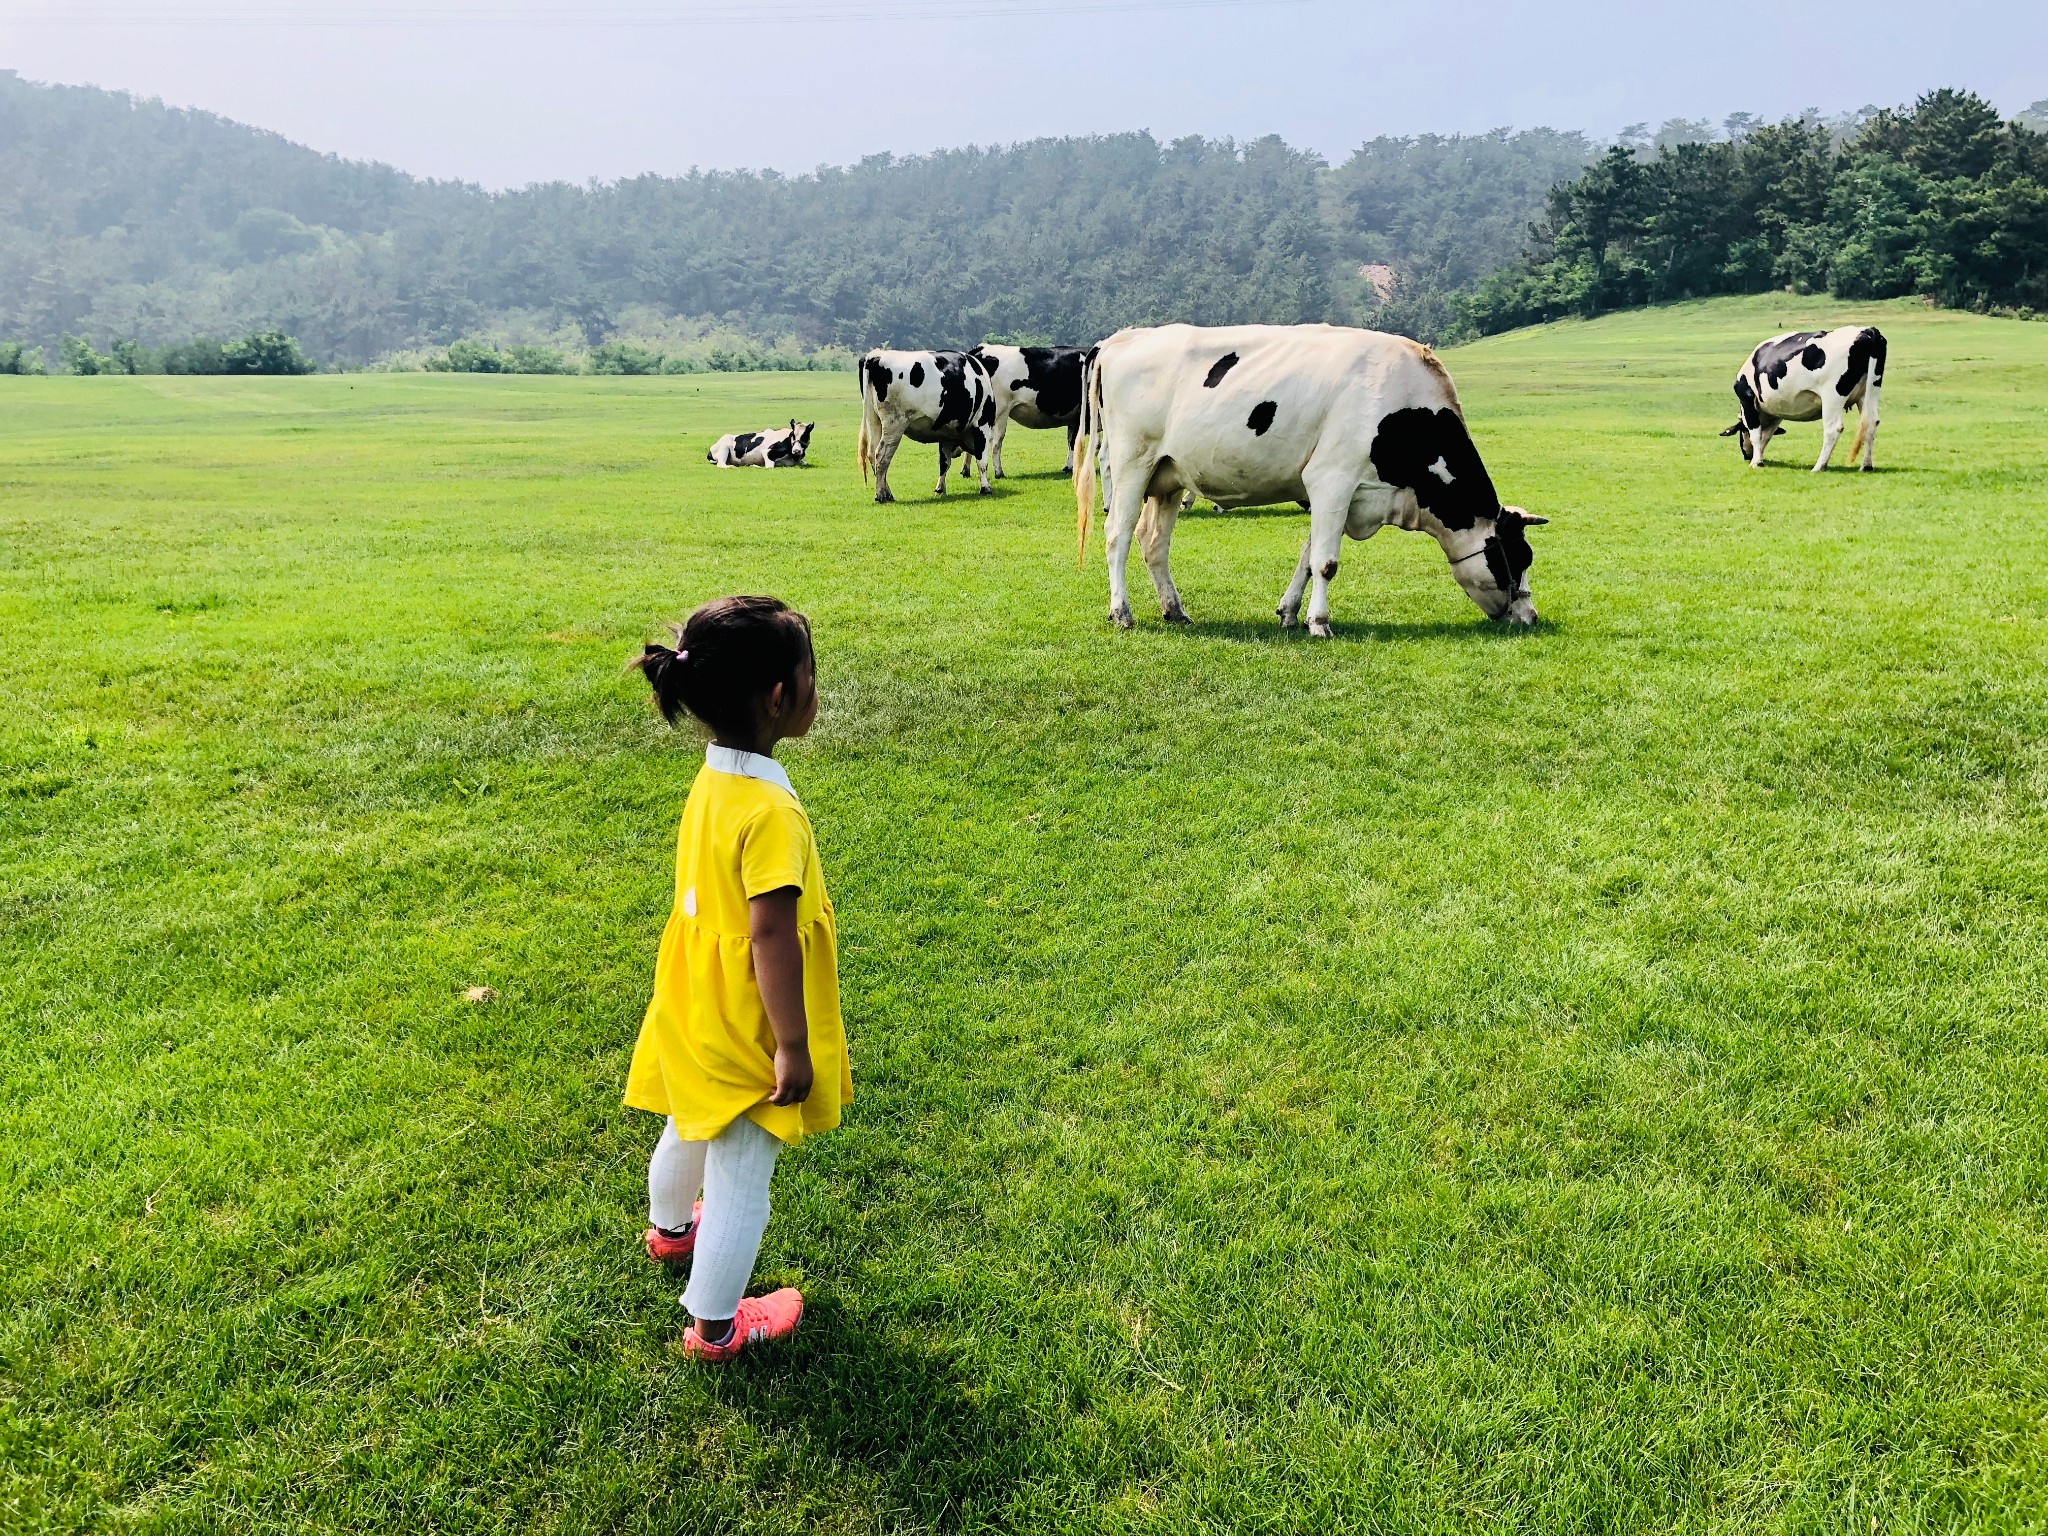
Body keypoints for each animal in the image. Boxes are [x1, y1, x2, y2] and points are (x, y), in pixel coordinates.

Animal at [856, 346, 999, 501]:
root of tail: (876, 355)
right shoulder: (982, 424)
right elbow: (982, 460)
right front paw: (985, 487)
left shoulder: (946, 433)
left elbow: (944, 463)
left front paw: (940, 489)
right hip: (894, 423)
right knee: (881, 456)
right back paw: (881, 494)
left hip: (874, 419)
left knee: (872, 454)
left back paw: (887, 493)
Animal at [966, 342, 1097, 475]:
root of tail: (982, 347)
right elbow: (1080, 442)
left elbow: (1074, 441)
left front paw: (1069, 467)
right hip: (1000, 411)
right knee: (996, 441)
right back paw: (999, 472)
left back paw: (966, 470)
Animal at [1081, 325, 1540, 638]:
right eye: (1518, 559)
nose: (1530, 617)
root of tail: (1122, 338)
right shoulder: (1331, 479)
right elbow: (1326, 561)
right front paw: (1319, 622)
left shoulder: (1341, 497)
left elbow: (1307, 554)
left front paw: (1289, 613)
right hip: (1132, 463)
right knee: (1117, 534)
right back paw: (1121, 612)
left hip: (1169, 477)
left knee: (1153, 542)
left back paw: (1174, 610)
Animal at [1712, 325, 1884, 468]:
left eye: (1741, 430)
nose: (1746, 455)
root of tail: (1867, 330)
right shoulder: (1775, 413)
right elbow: (1765, 436)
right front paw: (1759, 457)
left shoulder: (1747, 399)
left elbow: (1756, 434)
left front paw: (1756, 462)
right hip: (1870, 391)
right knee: (1870, 423)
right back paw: (1866, 466)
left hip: (1833, 395)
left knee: (1833, 428)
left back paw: (1819, 466)